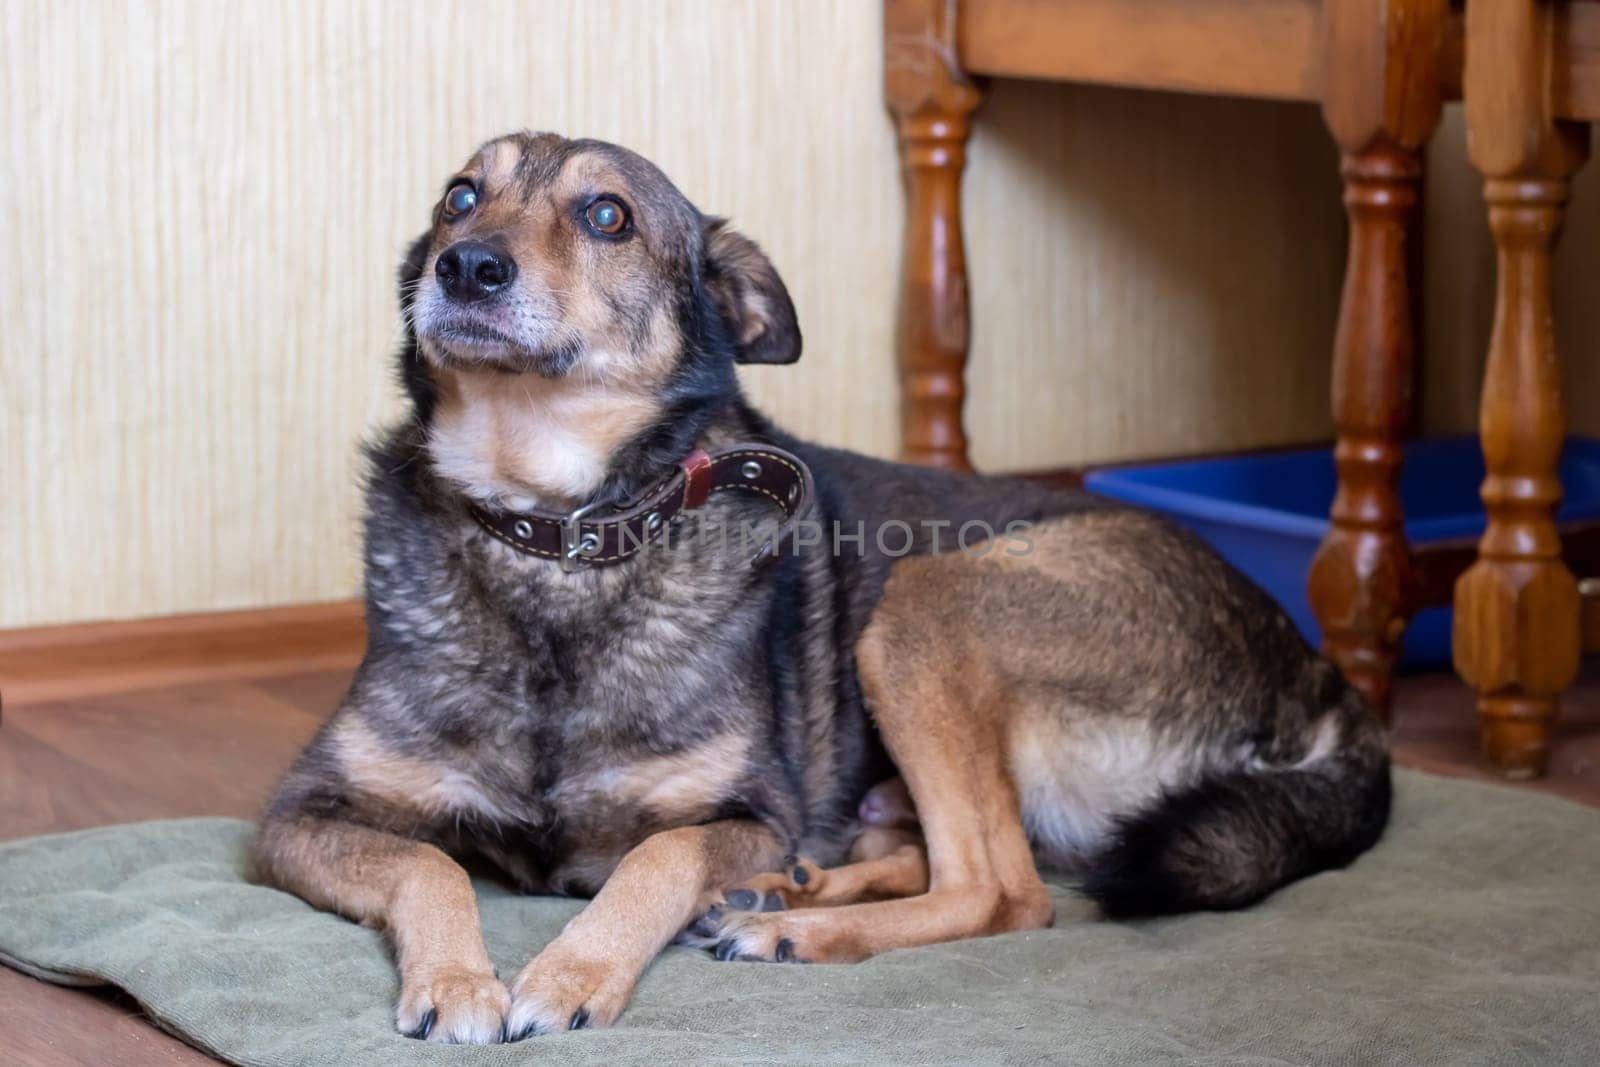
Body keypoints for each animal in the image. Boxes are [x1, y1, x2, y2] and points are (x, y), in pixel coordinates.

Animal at [256, 131, 1395, 1043]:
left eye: (607, 215)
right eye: (457, 196)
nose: (465, 265)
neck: (555, 532)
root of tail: (1316, 676)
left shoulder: (749, 806)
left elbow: (654, 859)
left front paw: (571, 971)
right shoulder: (295, 812)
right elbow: (431, 863)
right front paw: (457, 980)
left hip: (921, 604)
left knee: (1003, 889)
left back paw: (795, 927)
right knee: (933, 852)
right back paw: (787, 889)